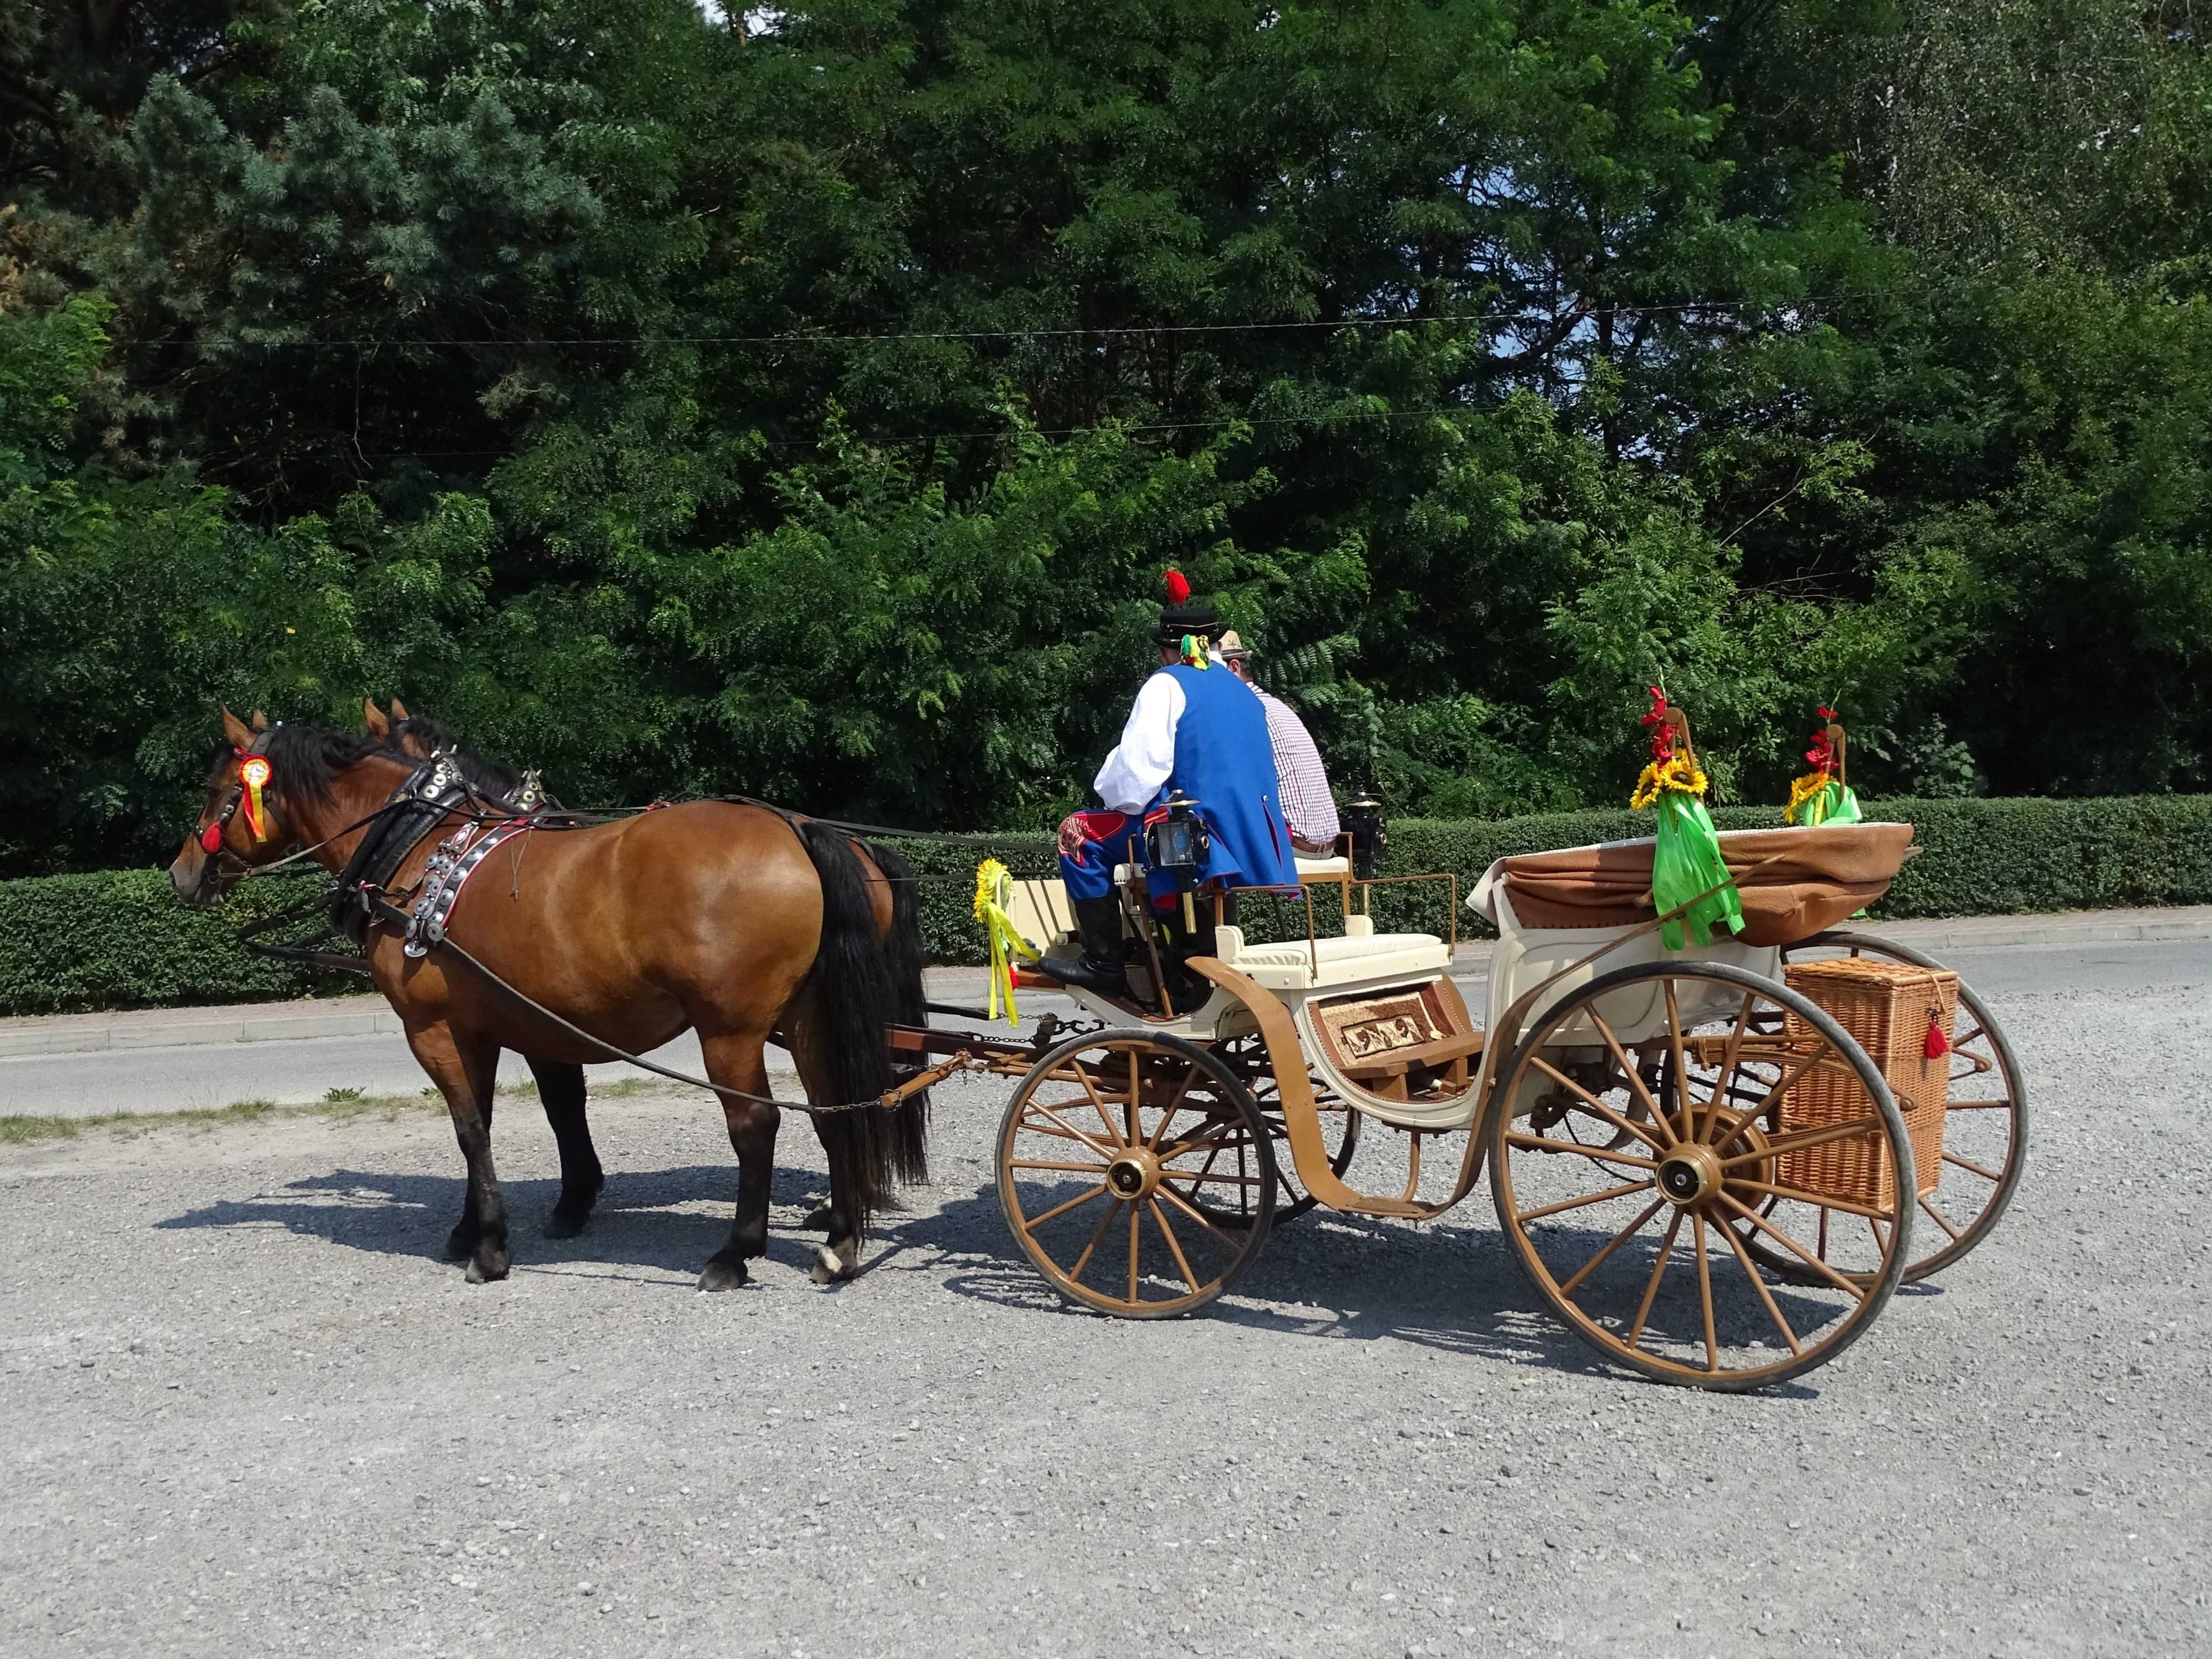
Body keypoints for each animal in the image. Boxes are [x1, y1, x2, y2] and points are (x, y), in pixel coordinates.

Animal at [168, 708, 929, 1292]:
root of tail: (797, 831)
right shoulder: (505, 1026)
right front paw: (487, 1223)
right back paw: (840, 1242)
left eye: (217, 788)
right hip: (808, 1020)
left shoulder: (436, 1028)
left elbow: (473, 1129)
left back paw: (734, 1254)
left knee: (756, 1125)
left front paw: (491, 1246)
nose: (180, 872)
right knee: (836, 1113)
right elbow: (517, 1117)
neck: (425, 849)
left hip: (730, 1031)